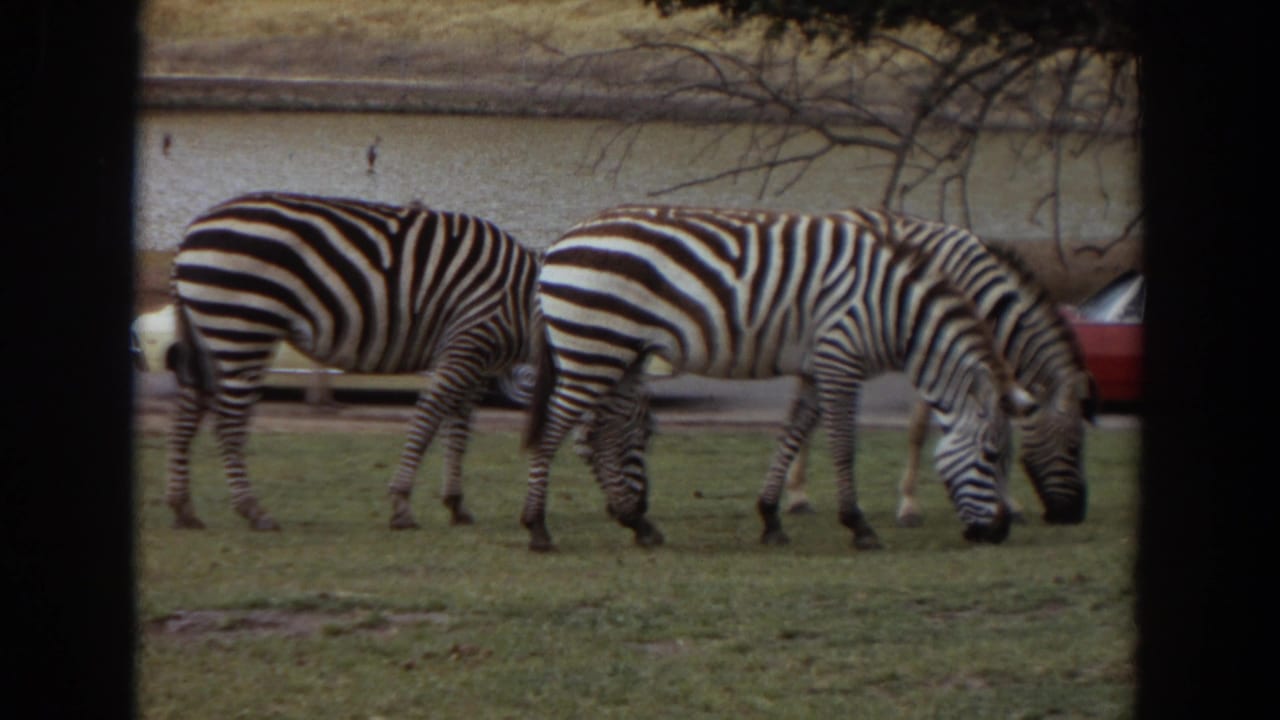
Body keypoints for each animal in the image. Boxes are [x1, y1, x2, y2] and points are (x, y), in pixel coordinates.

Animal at [164, 191, 542, 531]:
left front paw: (456, 504)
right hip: (241, 328)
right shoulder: (467, 343)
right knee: (226, 423)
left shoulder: (477, 363)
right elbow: (428, 421)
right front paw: (402, 505)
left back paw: (184, 509)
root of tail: (190, 232)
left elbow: (459, 430)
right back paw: (253, 511)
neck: (524, 301)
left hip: (210, 335)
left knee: (187, 413)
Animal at [520, 204, 1037, 552]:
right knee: (554, 428)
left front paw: (770, 518)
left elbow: (792, 433)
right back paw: (538, 527)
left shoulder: (817, 365)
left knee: (603, 433)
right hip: (594, 347)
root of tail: (562, 240)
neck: (895, 310)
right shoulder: (841, 357)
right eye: (992, 456)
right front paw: (858, 525)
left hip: (618, 352)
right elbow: (842, 444)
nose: (1000, 532)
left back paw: (637, 523)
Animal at [781, 211, 1097, 526]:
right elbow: (919, 430)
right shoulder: (940, 356)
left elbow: (999, 429)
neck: (986, 304)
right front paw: (909, 505)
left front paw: (1007, 503)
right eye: (1073, 447)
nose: (1076, 514)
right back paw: (797, 496)